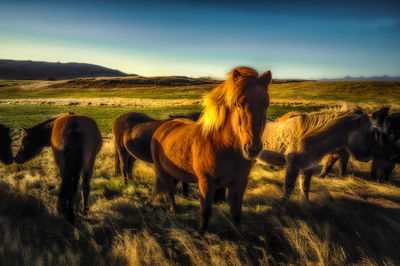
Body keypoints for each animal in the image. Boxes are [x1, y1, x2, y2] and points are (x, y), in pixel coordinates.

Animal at [150, 67, 272, 231]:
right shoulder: (206, 184)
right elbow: (206, 212)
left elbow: (236, 214)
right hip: (163, 172)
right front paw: (201, 233)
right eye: (239, 104)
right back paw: (174, 211)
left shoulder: (239, 185)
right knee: (170, 192)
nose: (252, 149)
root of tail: (163, 127)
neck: (224, 148)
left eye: (266, 104)